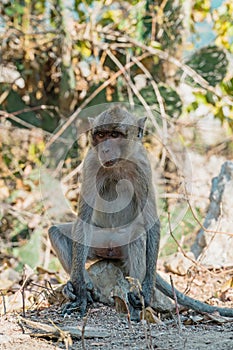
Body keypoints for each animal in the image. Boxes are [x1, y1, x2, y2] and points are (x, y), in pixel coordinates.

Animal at [48, 106, 233, 320]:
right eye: (101, 135)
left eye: (114, 135)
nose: (105, 150)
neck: (119, 164)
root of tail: (110, 250)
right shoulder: (91, 163)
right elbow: (83, 220)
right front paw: (80, 292)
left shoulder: (143, 167)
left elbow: (151, 221)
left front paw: (147, 289)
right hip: (99, 239)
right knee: (56, 232)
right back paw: (81, 285)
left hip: (119, 245)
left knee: (137, 235)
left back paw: (136, 300)